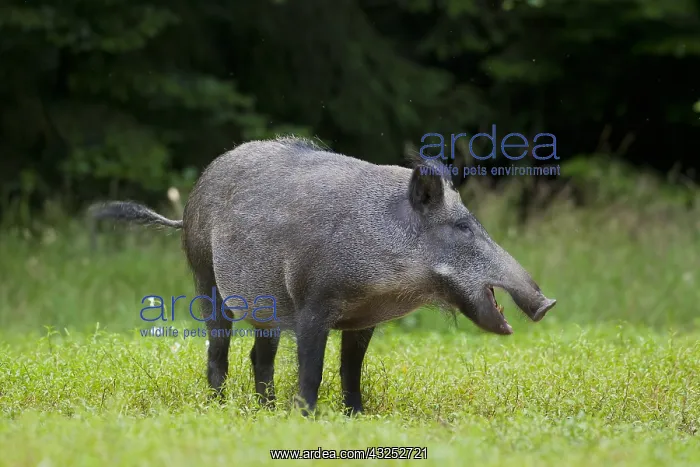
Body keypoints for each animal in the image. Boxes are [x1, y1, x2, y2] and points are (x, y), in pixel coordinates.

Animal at [89, 136, 556, 415]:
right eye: (462, 228)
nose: (547, 303)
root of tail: (187, 208)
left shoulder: (363, 318)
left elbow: (351, 369)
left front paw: (356, 415)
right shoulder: (312, 303)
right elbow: (312, 367)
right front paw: (307, 416)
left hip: (265, 306)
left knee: (259, 355)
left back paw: (266, 410)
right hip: (206, 276)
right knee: (218, 349)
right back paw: (221, 406)